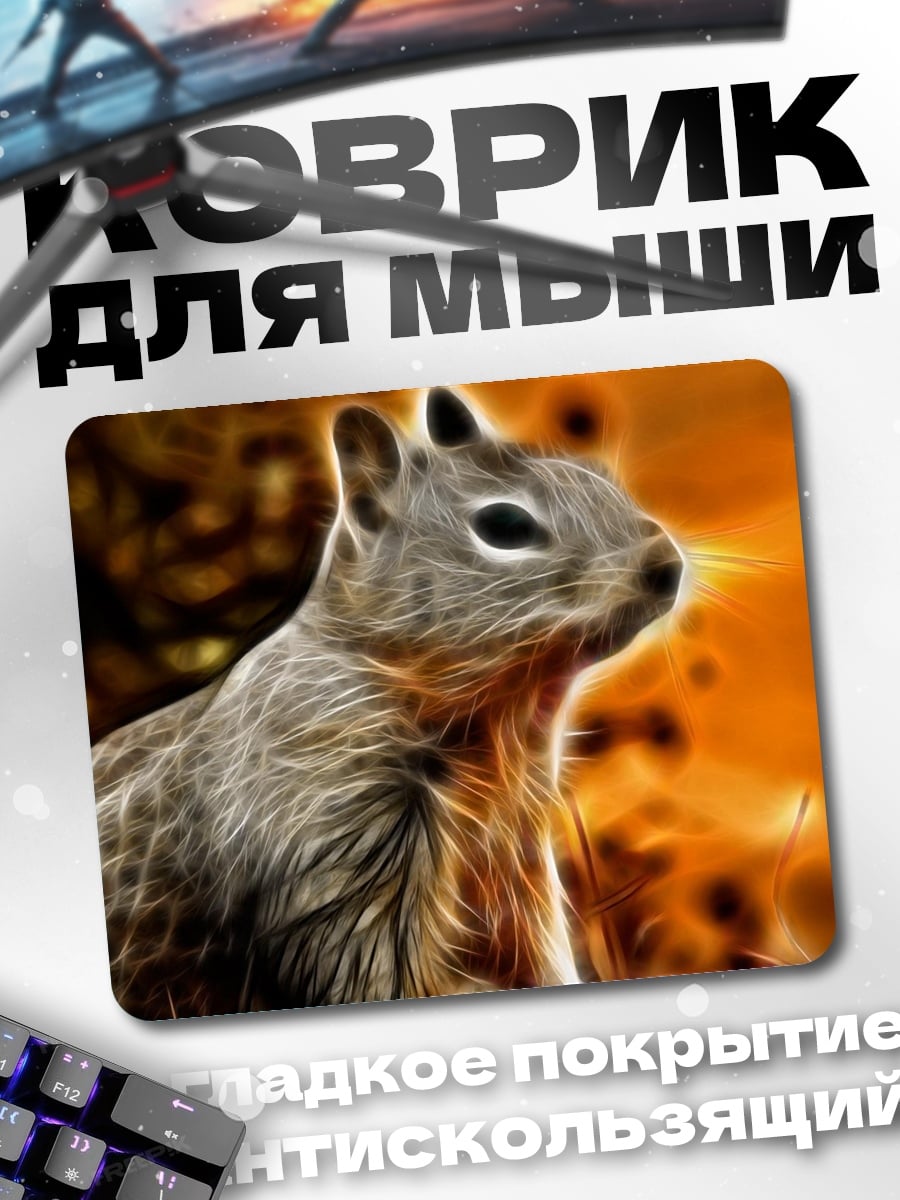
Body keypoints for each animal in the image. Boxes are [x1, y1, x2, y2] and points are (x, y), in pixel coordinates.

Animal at [92, 385, 683, 1018]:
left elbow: (531, 946)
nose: (665, 567)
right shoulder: (332, 834)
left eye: (596, 475)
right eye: (504, 525)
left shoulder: (516, 857)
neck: (505, 721)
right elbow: (369, 967)